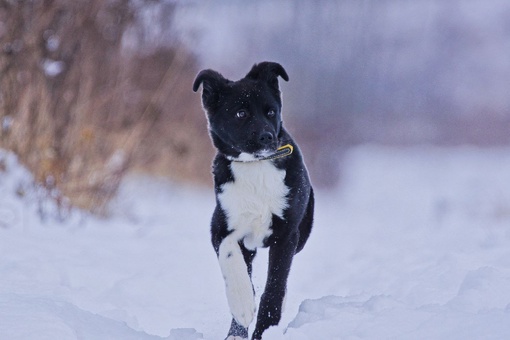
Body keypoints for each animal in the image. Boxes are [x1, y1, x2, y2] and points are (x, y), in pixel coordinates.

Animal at [193, 61, 312, 340]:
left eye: (271, 112)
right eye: (241, 114)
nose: (267, 137)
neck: (255, 166)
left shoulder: (287, 233)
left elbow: (275, 286)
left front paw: (266, 329)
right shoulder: (220, 225)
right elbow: (230, 256)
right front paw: (242, 306)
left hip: (302, 233)